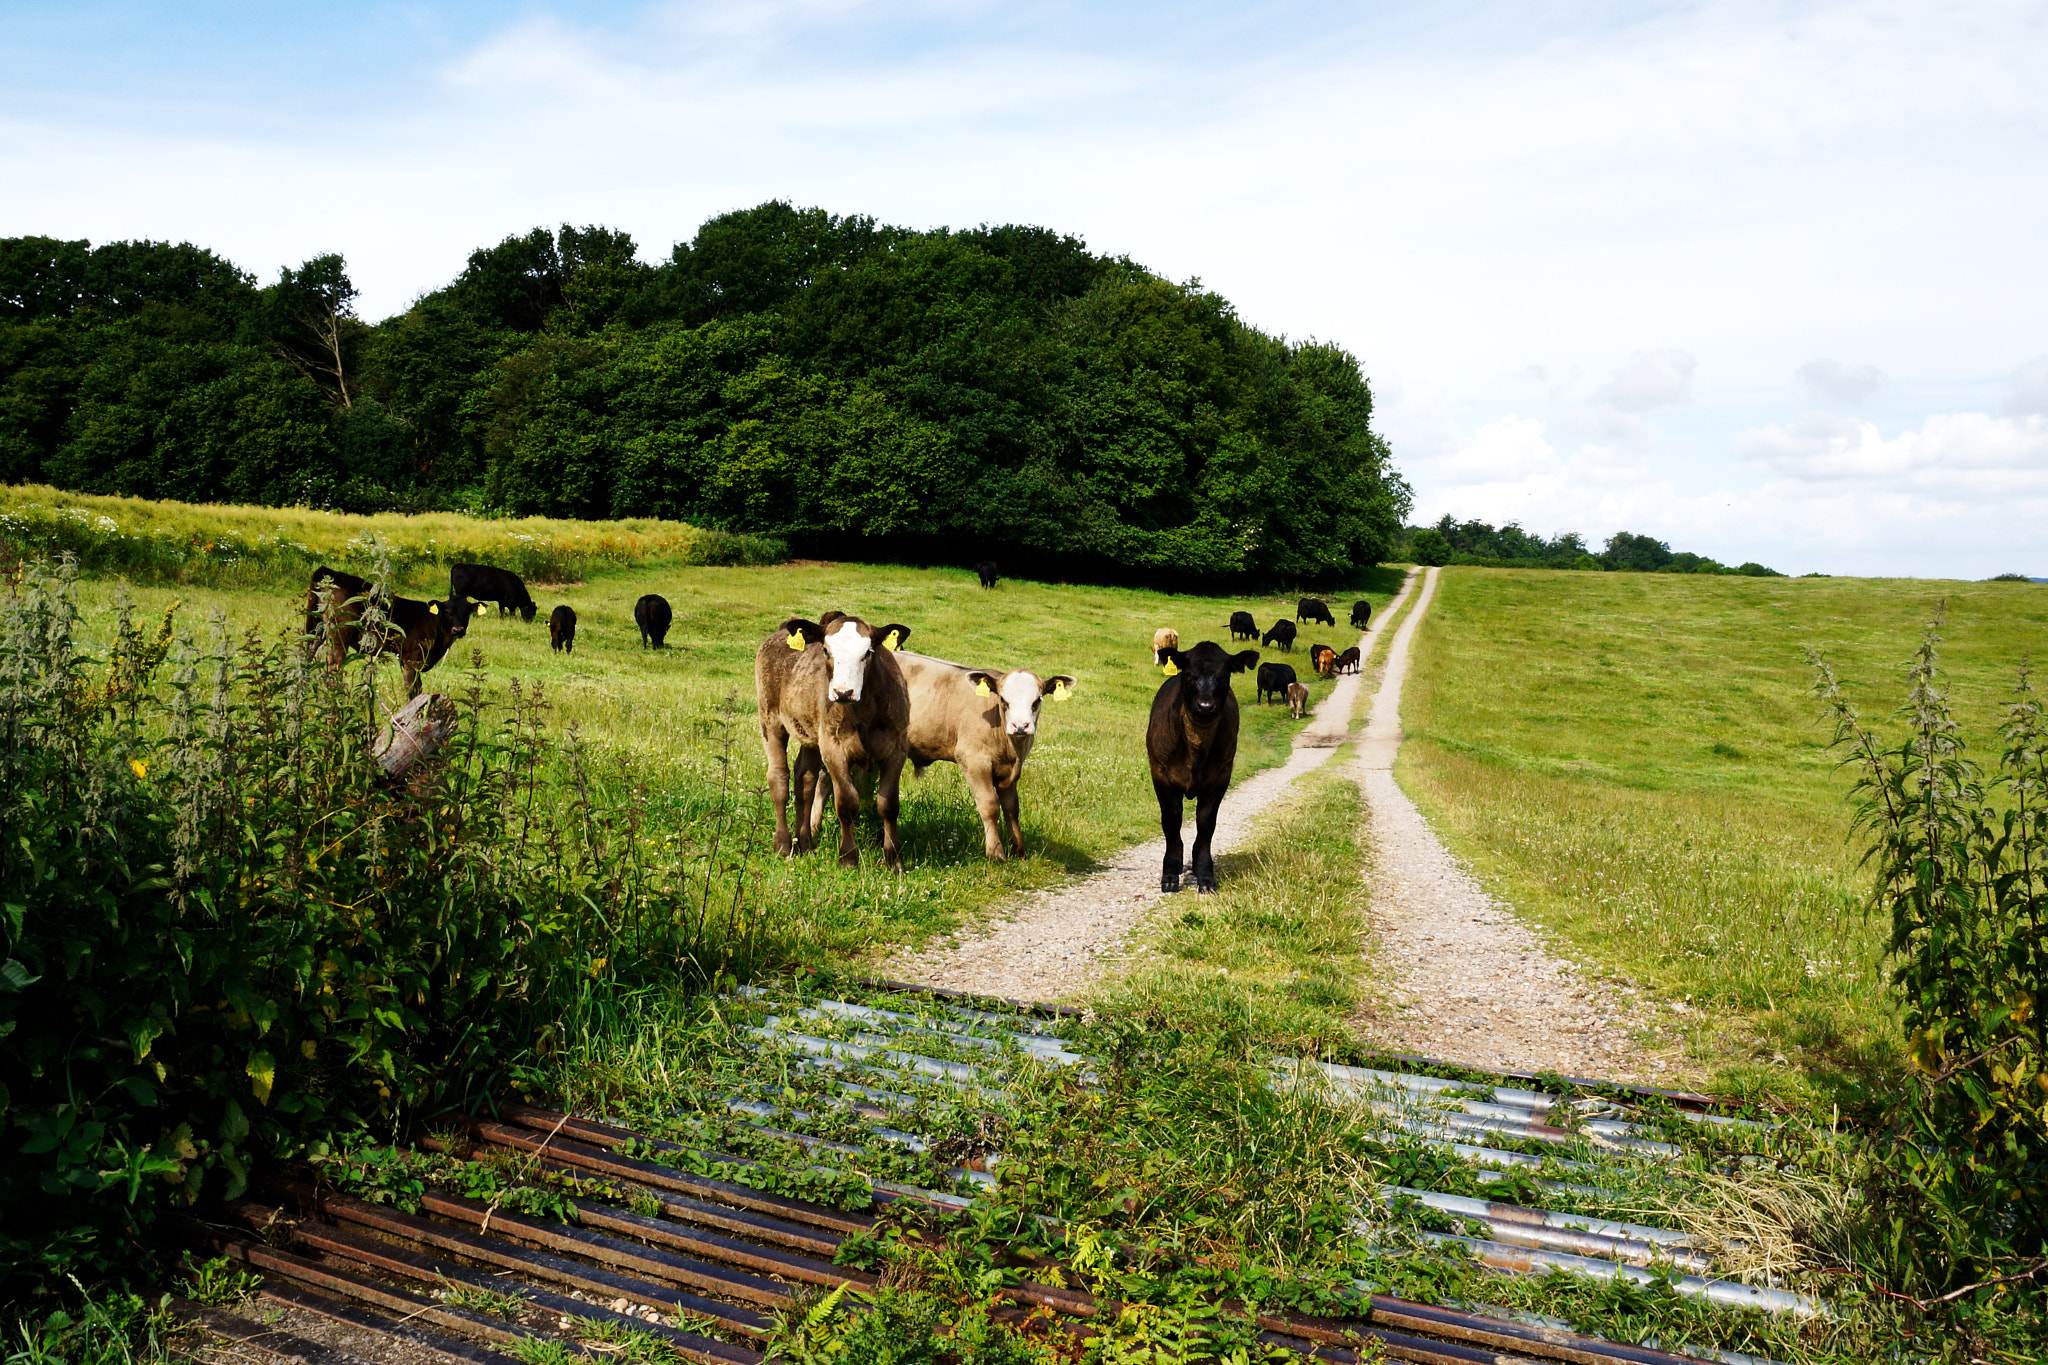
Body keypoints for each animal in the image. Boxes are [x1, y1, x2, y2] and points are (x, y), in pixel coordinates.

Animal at [299, 564, 460, 699]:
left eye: (465, 613)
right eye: (447, 612)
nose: (458, 630)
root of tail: (332, 572)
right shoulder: (412, 660)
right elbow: (413, 688)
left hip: (318, 629)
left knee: (308, 654)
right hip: (339, 636)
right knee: (333, 666)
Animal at [753, 613, 913, 871]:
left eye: (868, 652)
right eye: (826, 651)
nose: (843, 692)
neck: (865, 714)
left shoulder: (897, 748)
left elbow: (888, 805)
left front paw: (894, 859)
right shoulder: (834, 749)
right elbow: (847, 803)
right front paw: (847, 858)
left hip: (812, 734)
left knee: (805, 779)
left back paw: (804, 842)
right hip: (770, 719)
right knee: (779, 778)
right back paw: (784, 844)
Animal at [1146, 642, 1253, 896]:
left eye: (1224, 676)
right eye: (1189, 675)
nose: (1205, 706)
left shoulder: (1221, 777)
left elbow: (1206, 822)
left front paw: (1205, 875)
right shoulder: (1160, 774)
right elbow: (1171, 820)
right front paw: (1170, 874)